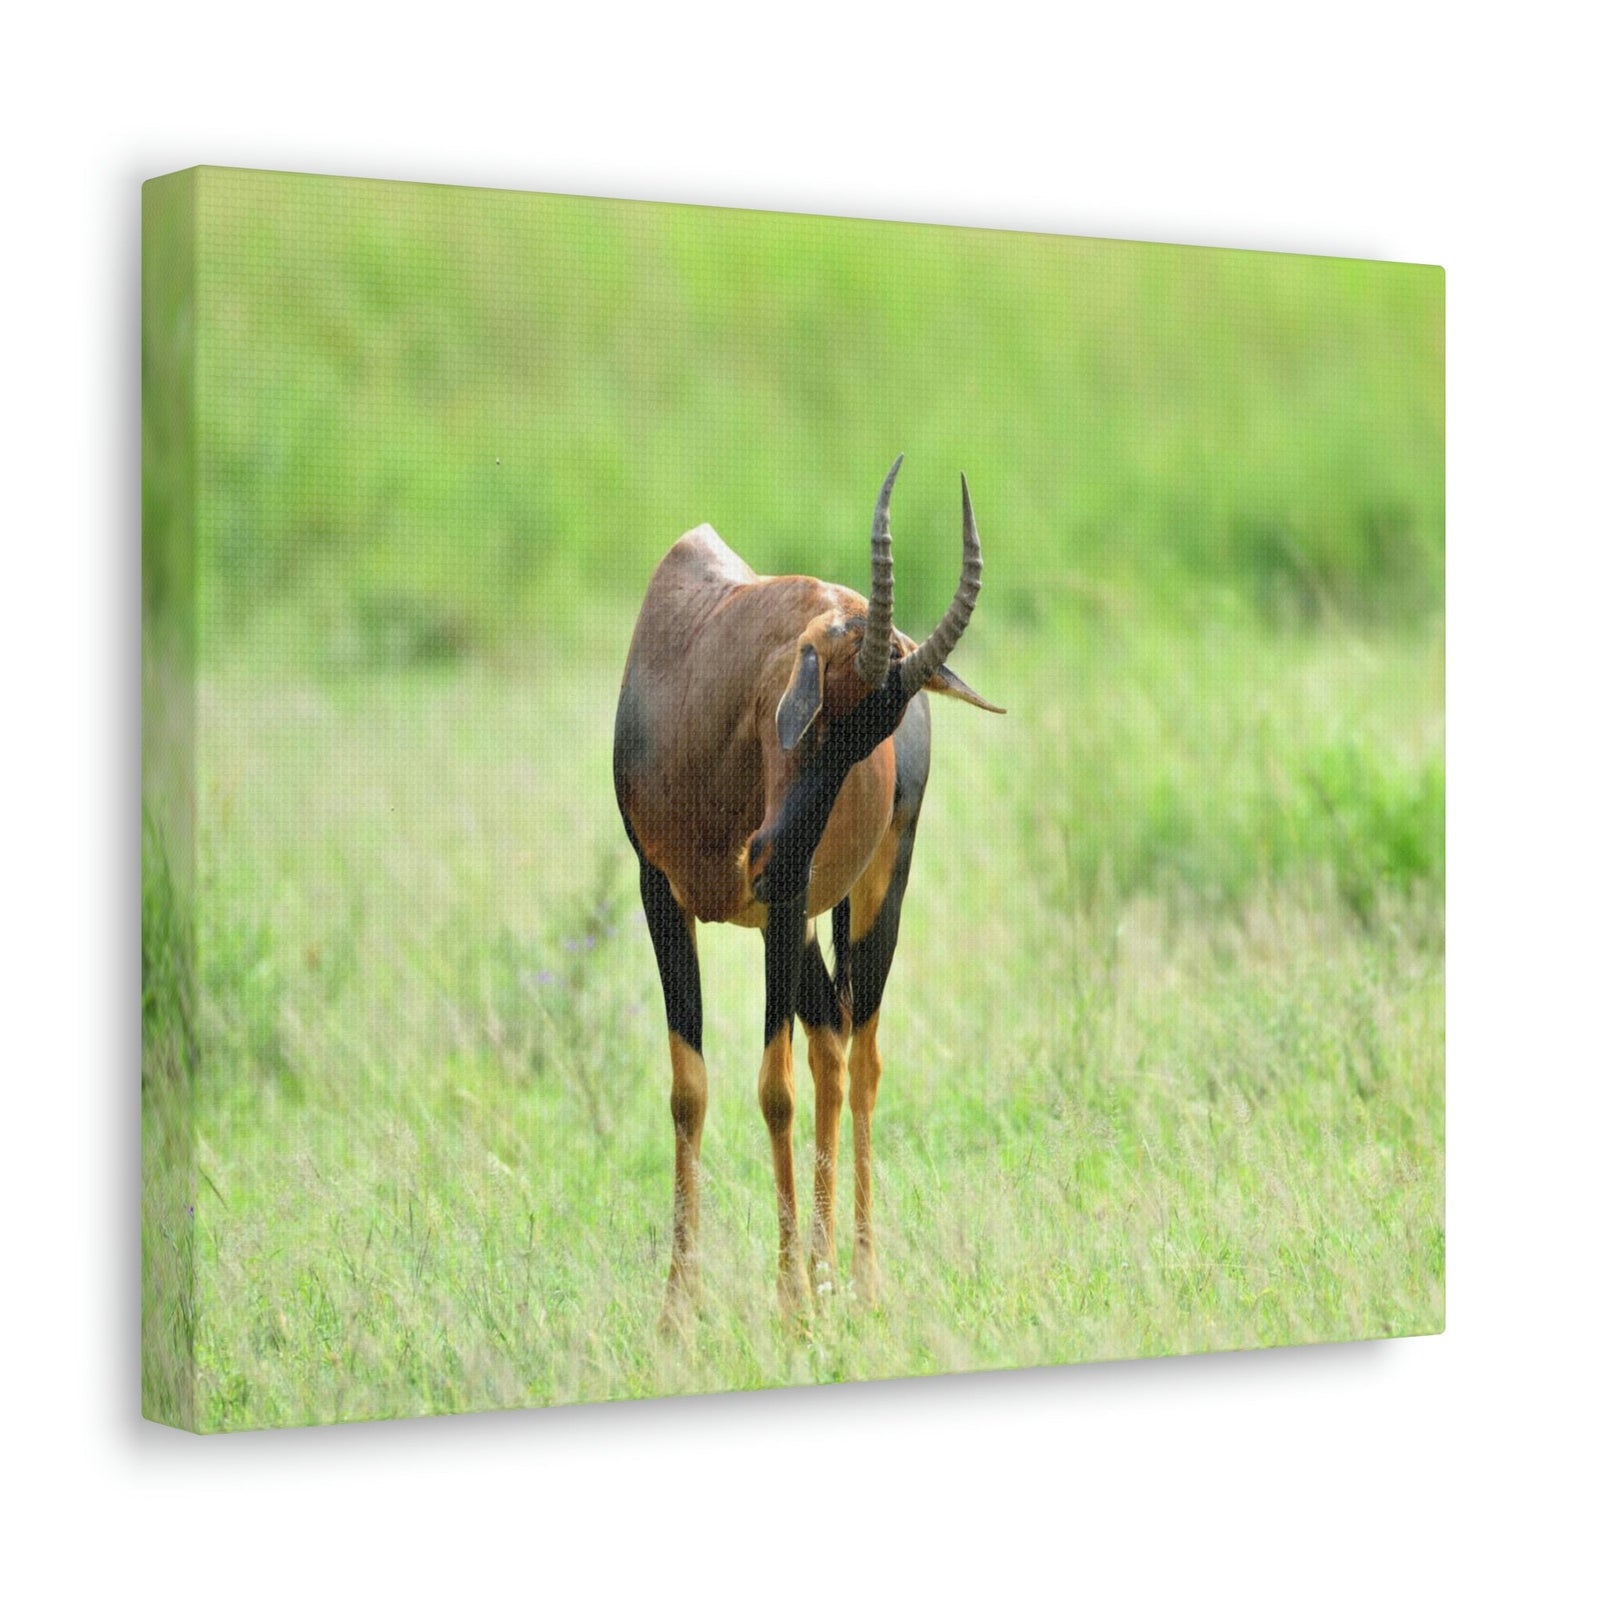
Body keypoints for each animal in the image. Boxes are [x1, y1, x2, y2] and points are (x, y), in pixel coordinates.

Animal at [613, 458, 1001, 1318]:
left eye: (875, 737)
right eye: (818, 704)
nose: (770, 857)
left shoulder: (785, 909)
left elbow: (773, 1090)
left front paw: (789, 1305)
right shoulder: (662, 893)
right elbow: (690, 1088)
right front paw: (678, 1314)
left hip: (869, 895)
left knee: (862, 1057)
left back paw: (858, 1280)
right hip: (795, 925)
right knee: (829, 1042)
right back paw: (826, 1273)